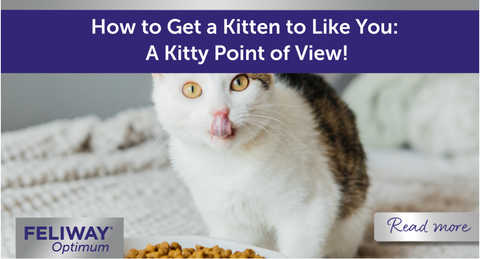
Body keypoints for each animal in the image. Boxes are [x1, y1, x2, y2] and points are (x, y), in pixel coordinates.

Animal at [152, 74, 370, 258]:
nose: (220, 112)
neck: (230, 164)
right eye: (191, 89)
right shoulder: (231, 226)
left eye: (239, 82)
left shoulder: (311, 209)